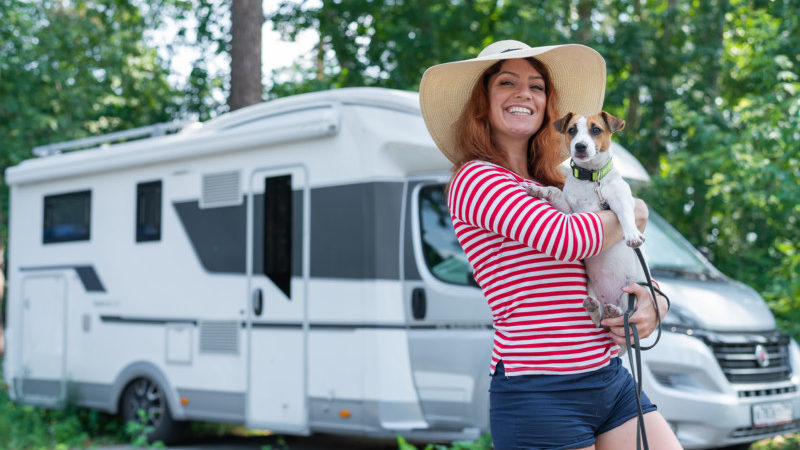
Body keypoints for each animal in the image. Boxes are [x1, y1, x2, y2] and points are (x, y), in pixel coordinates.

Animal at [528, 112, 648, 326]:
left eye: (596, 130)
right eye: (572, 130)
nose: (580, 146)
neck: (591, 179)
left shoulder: (621, 199)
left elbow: (626, 214)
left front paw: (632, 235)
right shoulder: (571, 213)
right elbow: (554, 192)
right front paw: (539, 190)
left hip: (631, 291)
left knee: (625, 314)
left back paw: (615, 312)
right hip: (593, 289)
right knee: (599, 319)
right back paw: (596, 308)